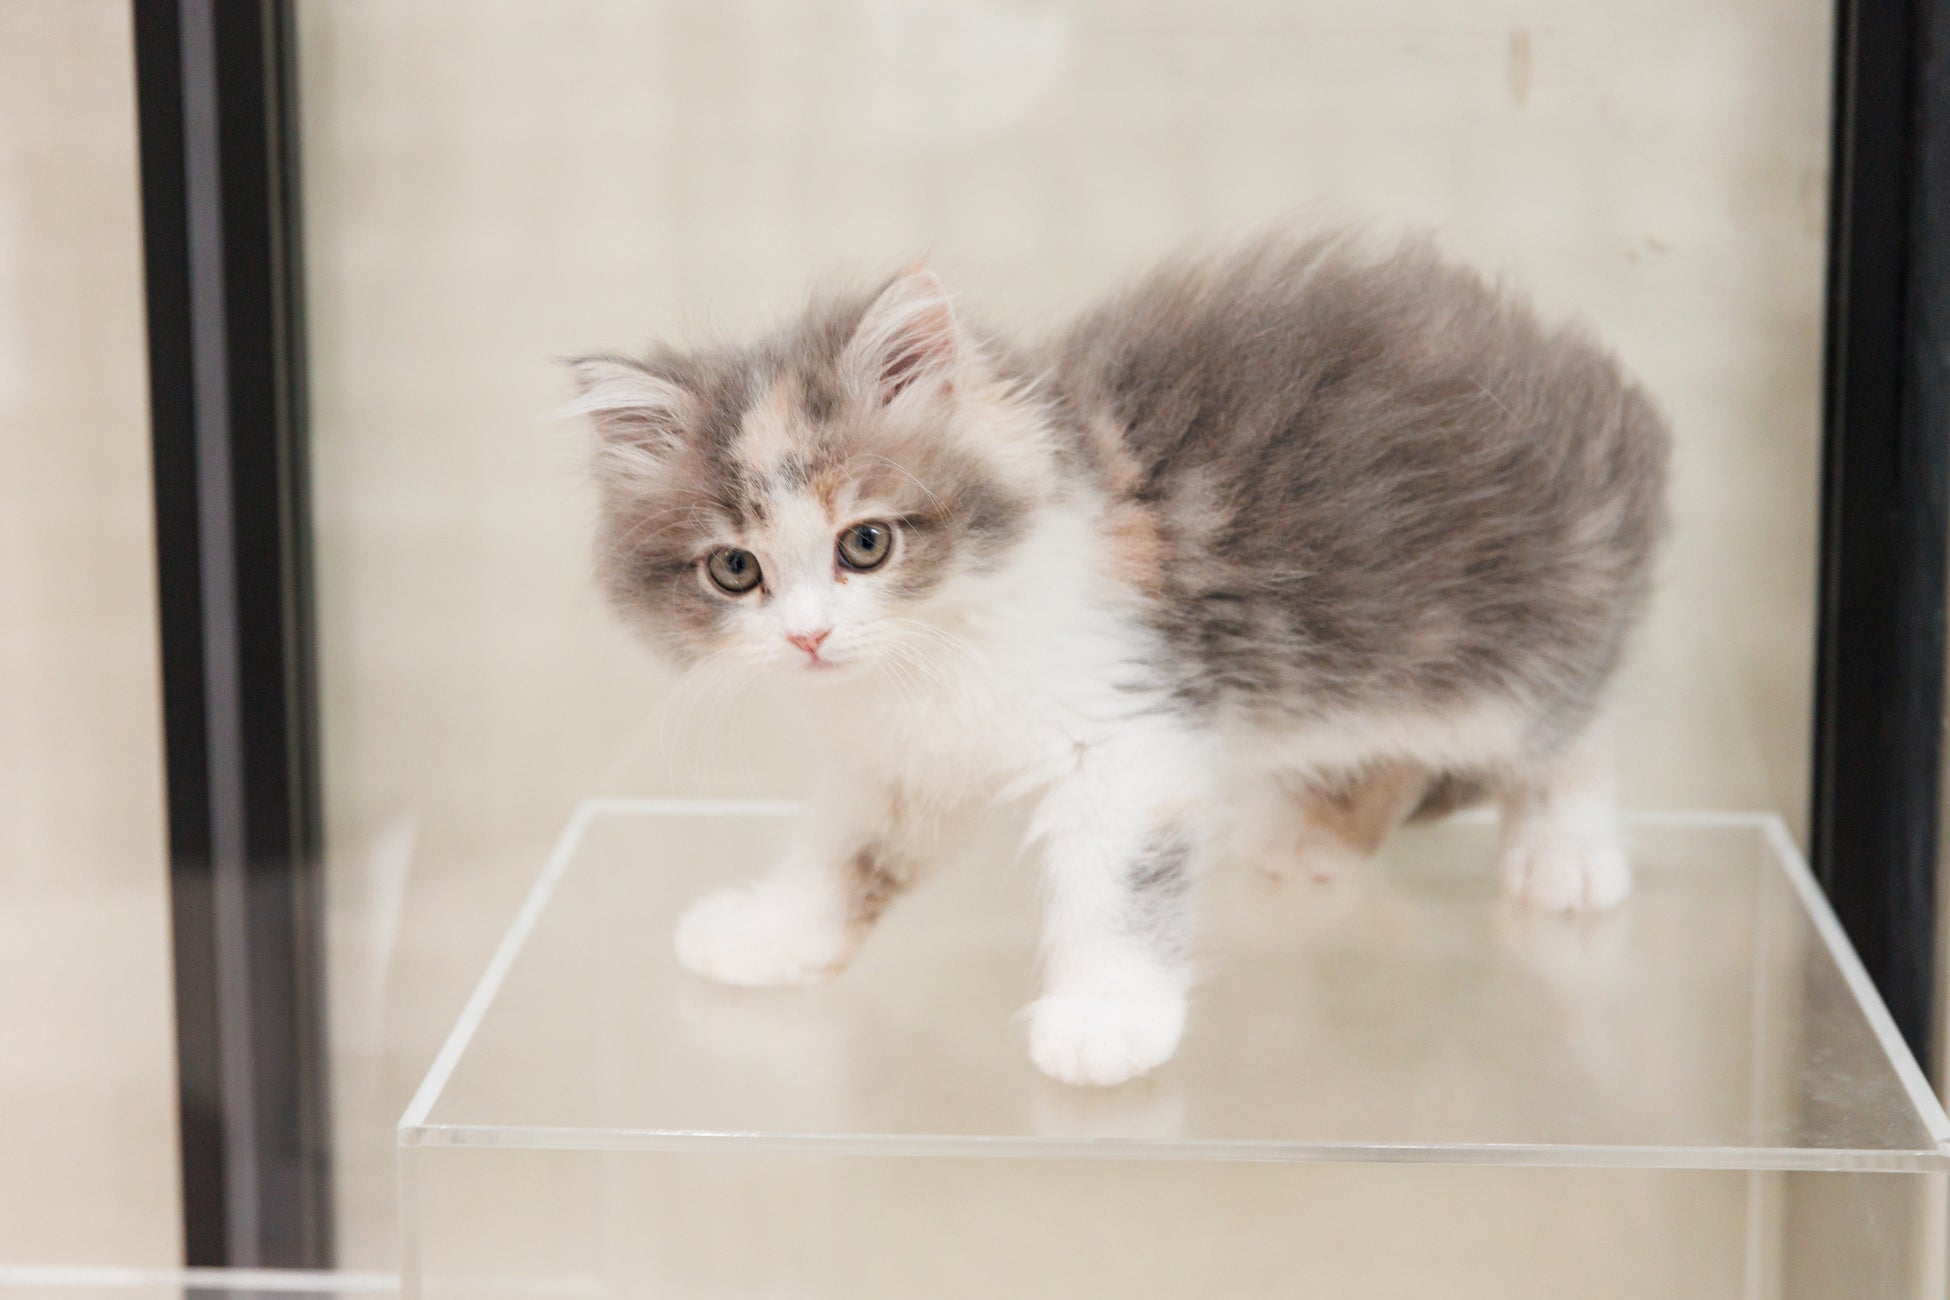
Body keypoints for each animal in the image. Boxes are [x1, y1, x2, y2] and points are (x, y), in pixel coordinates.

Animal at [569, 233, 1670, 1087]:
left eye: (866, 543)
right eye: (735, 569)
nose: (809, 636)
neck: (936, 653)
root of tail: (1594, 386)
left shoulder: (1127, 732)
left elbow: (1120, 884)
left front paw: (1108, 1019)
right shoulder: (908, 759)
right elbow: (842, 850)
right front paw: (775, 935)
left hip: (1513, 632)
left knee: (1571, 726)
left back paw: (1567, 852)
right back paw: (1312, 832)